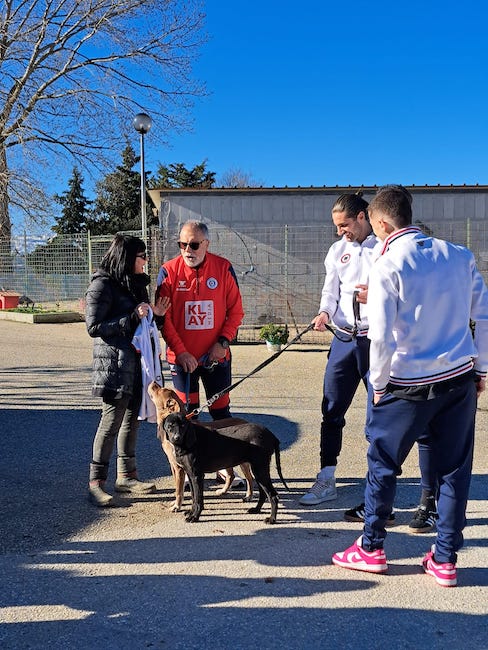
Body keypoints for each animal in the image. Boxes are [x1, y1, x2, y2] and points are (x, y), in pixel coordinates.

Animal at [147, 380, 254, 512]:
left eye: (161, 389)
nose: (153, 381)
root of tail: (247, 423)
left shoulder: (179, 468)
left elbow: (179, 490)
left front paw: (177, 506)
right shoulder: (175, 465)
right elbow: (180, 488)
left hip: (243, 462)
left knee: (249, 478)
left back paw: (249, 496)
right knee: (231, 475)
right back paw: (223, 491)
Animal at [161, 410, 290, 520]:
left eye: (183, 426)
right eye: (170, 425)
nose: (176, 438)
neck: (188, 441)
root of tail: (271, 435)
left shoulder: (197, 476)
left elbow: (198, 499)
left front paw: (195, 517)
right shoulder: (190, 474)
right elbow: (194, 497)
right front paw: (191, 512)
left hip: (259, 469)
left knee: (273, 496)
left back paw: (272, 519)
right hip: (258, 470)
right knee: (263, 493)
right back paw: (256, 510)